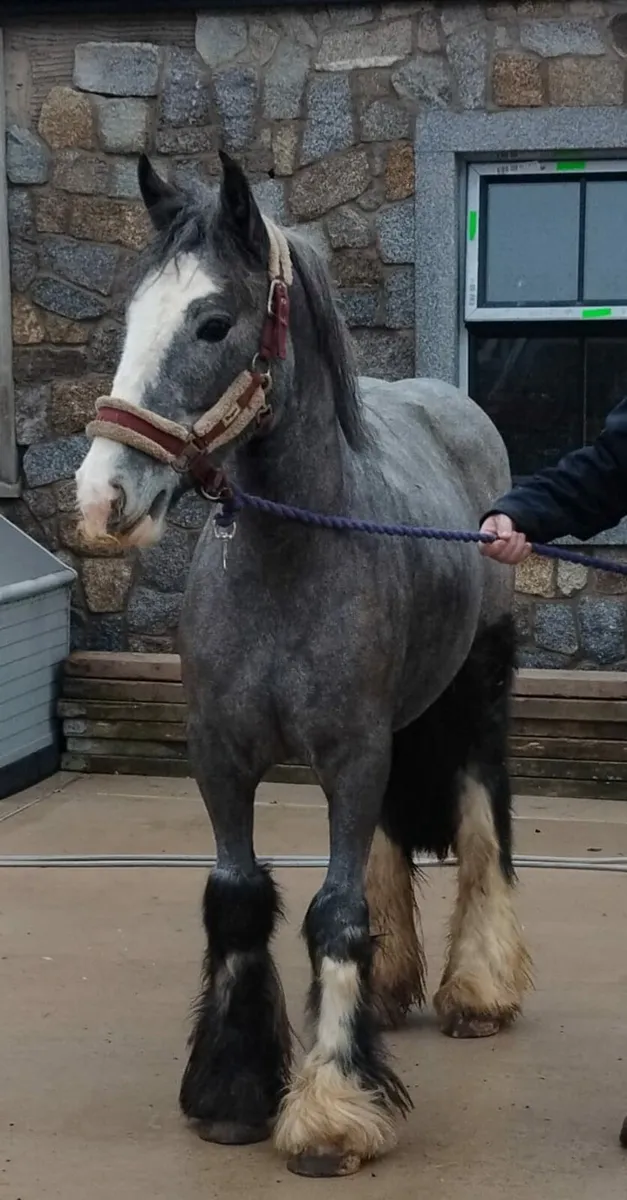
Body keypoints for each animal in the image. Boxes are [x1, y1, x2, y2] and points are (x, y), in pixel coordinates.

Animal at [74, 151, 532, 1178]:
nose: (102, 496)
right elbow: (240, 900)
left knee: (479, 814)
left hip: (475, 689)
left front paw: (329, 1114)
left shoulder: (351, 753)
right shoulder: (222, 754)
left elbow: (333, 911)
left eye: (212, 321)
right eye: (131, 315)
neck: (290, 553)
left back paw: (477, 990)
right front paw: (232, 1093)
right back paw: (392, 986)